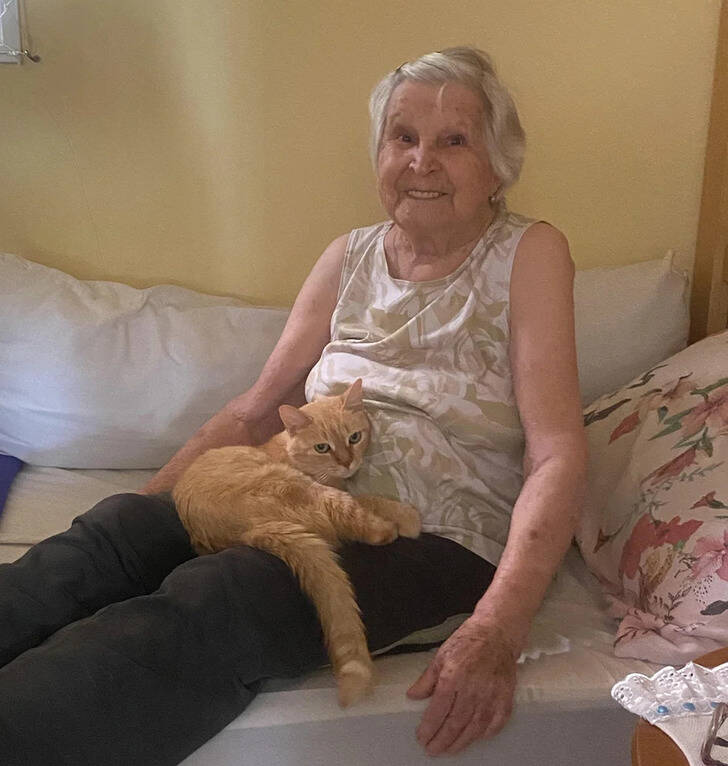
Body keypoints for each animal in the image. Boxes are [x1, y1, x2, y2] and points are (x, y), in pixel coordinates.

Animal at [172, 379, 421, 706]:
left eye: (354, 437)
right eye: (322, 447)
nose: (347, 462)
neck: (288, 453)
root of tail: (248, 530)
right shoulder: (331, 489)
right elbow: (367, 499)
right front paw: (405, 516)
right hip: (301, 490)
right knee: (362, 522)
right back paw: (395, 525)